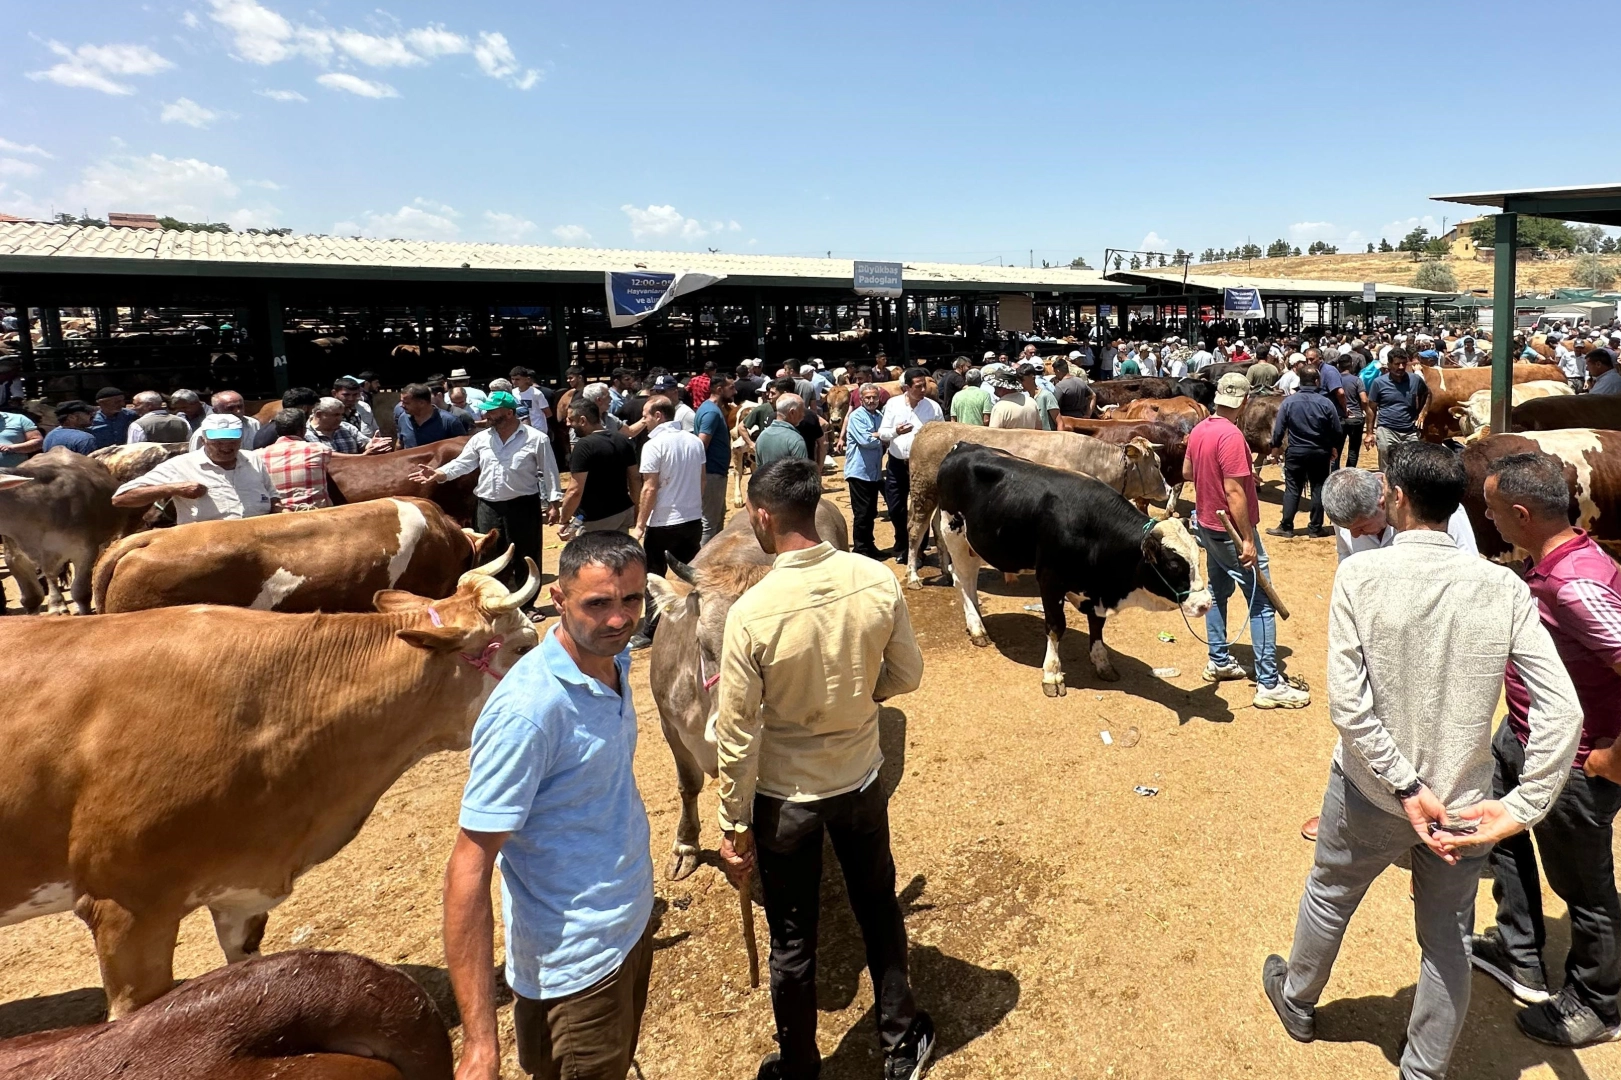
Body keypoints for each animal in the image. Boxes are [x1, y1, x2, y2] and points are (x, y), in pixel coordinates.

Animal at [901, 421, 1167, 590]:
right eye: (1156, 464)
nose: (1166, 489)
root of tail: (930, 426)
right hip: (922, 491)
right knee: (915, 530)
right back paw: (913, 577)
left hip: (940, 501)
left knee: (937, 530)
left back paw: (947, 571)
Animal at [933, 441, 1212, 694]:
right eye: (1174, 564)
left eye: (1198, 560)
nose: (1205, 604)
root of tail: (962, 446)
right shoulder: (1050, 579)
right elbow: (1056, 626)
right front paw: (1052, 674)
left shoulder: (1095, 589)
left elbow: (1097, 625)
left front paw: (1102, 662)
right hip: (953, 532)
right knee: (963, 579)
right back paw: (976, 627)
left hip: (976, 543)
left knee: (969, 579)